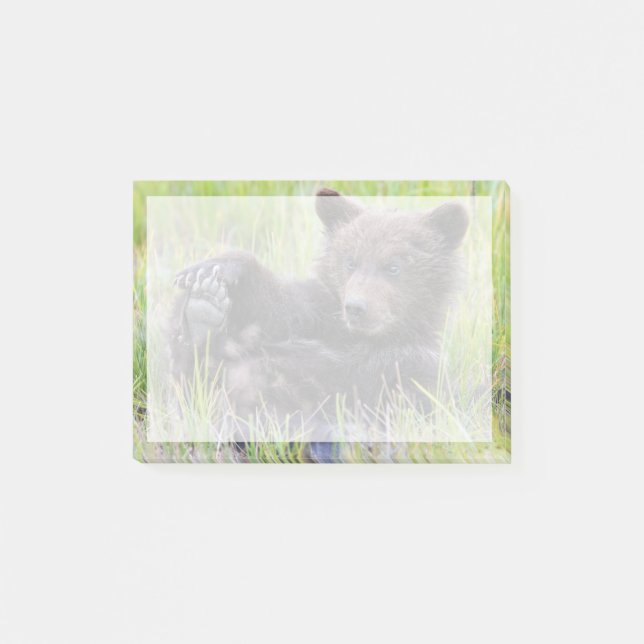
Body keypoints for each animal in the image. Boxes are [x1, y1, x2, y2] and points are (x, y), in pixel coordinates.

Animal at [169, 189, 469, 450]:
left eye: (394, 267)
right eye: (350, 261)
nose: (356, 307)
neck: (363, 338)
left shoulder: (412, 364)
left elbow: (407, 405)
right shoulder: (319, 314)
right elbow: (281, 308)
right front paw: (214, 270)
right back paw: (202, 312)